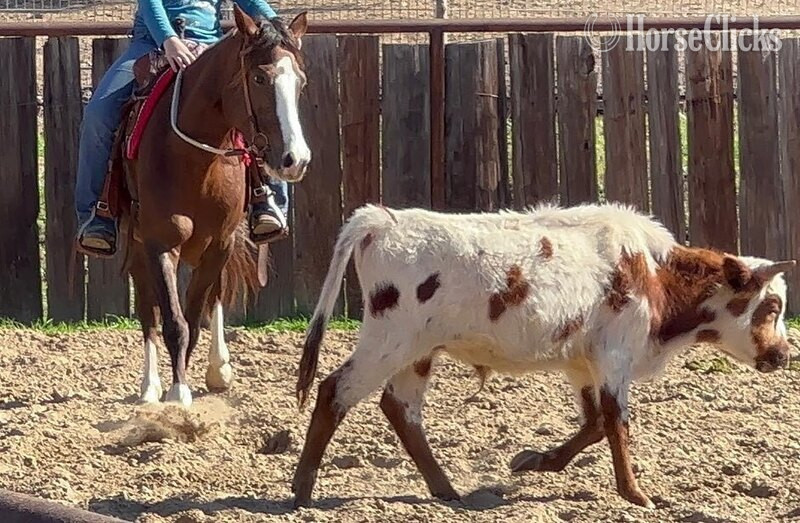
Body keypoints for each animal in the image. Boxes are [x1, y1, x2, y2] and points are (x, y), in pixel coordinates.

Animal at [114, 6, 310, 407]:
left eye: (300, 82)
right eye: (259, 77)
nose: (295, 160)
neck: (196, 160)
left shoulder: (220, 242)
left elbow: (194, 314)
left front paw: (184, 384)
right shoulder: (159, 245)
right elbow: (173, 321)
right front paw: (176, 392)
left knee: (214, 297)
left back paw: (218, 369)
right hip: (139, 245)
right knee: (147, 309)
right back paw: (149, 387)